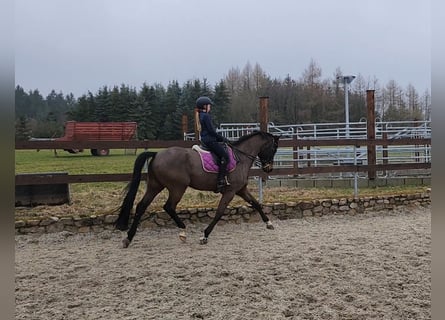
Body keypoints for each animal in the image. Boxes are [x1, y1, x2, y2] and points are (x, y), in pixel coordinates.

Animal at [116, 131, 280, 248]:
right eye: (273, 148)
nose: (269, 168)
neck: (241, 157)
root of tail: (157, 154)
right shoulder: (230, 192)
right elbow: (219, 212)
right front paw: (204, 236)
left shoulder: (241, 190)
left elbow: (256, 203)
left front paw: (269, 223)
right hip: (177, 187)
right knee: (169, 206)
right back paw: (182, 231)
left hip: (155, 186)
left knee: (141, 206)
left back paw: (128, 238)